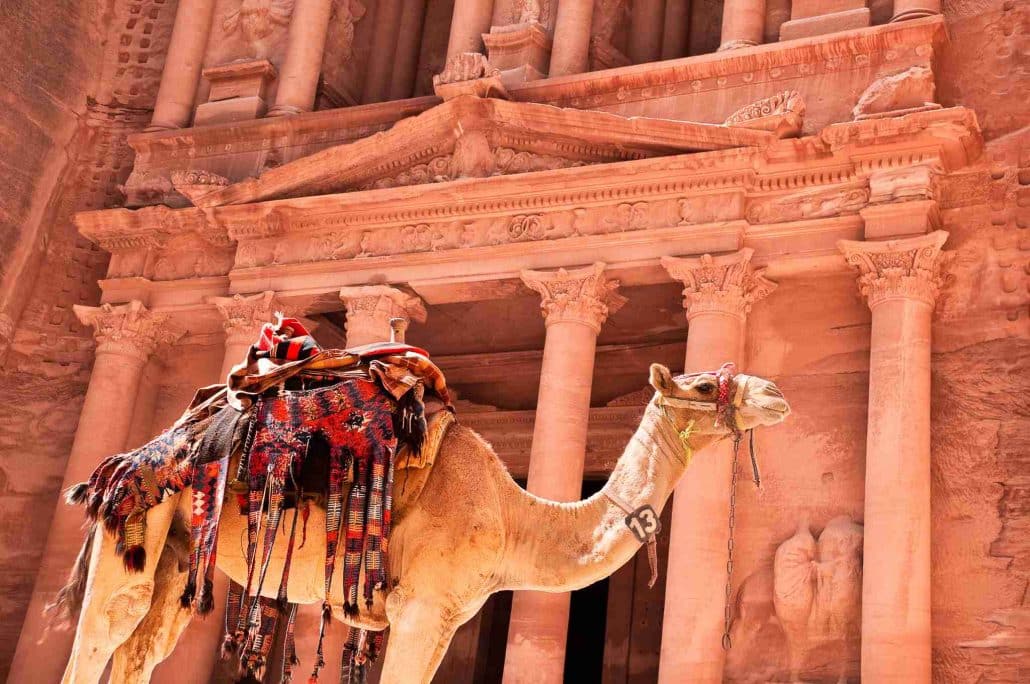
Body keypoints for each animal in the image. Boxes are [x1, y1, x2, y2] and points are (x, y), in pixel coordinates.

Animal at [58, 360, 786, 679]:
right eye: (702, 385)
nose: (775, 393)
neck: (515, 518)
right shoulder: (422, 606)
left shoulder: (444, 616)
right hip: (140, 520)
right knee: (105, 628)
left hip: (181, 557)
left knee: (142, 648)